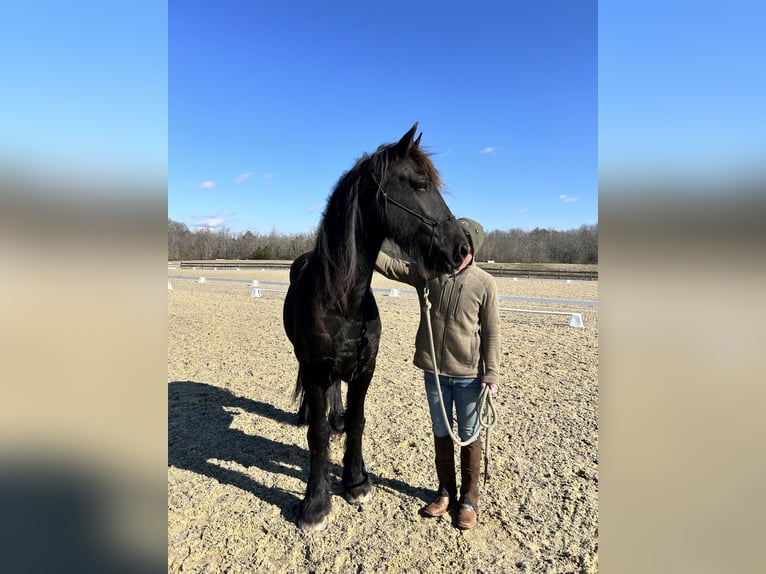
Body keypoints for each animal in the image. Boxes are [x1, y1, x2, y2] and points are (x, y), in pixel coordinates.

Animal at [284, 124, 472, 532]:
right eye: (419, 184)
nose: (461, 248)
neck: (343, 300)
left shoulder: (364, 368)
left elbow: (357, 422)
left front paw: (355, 482)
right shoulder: (316, 369)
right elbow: (317, 435)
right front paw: (315, 504)